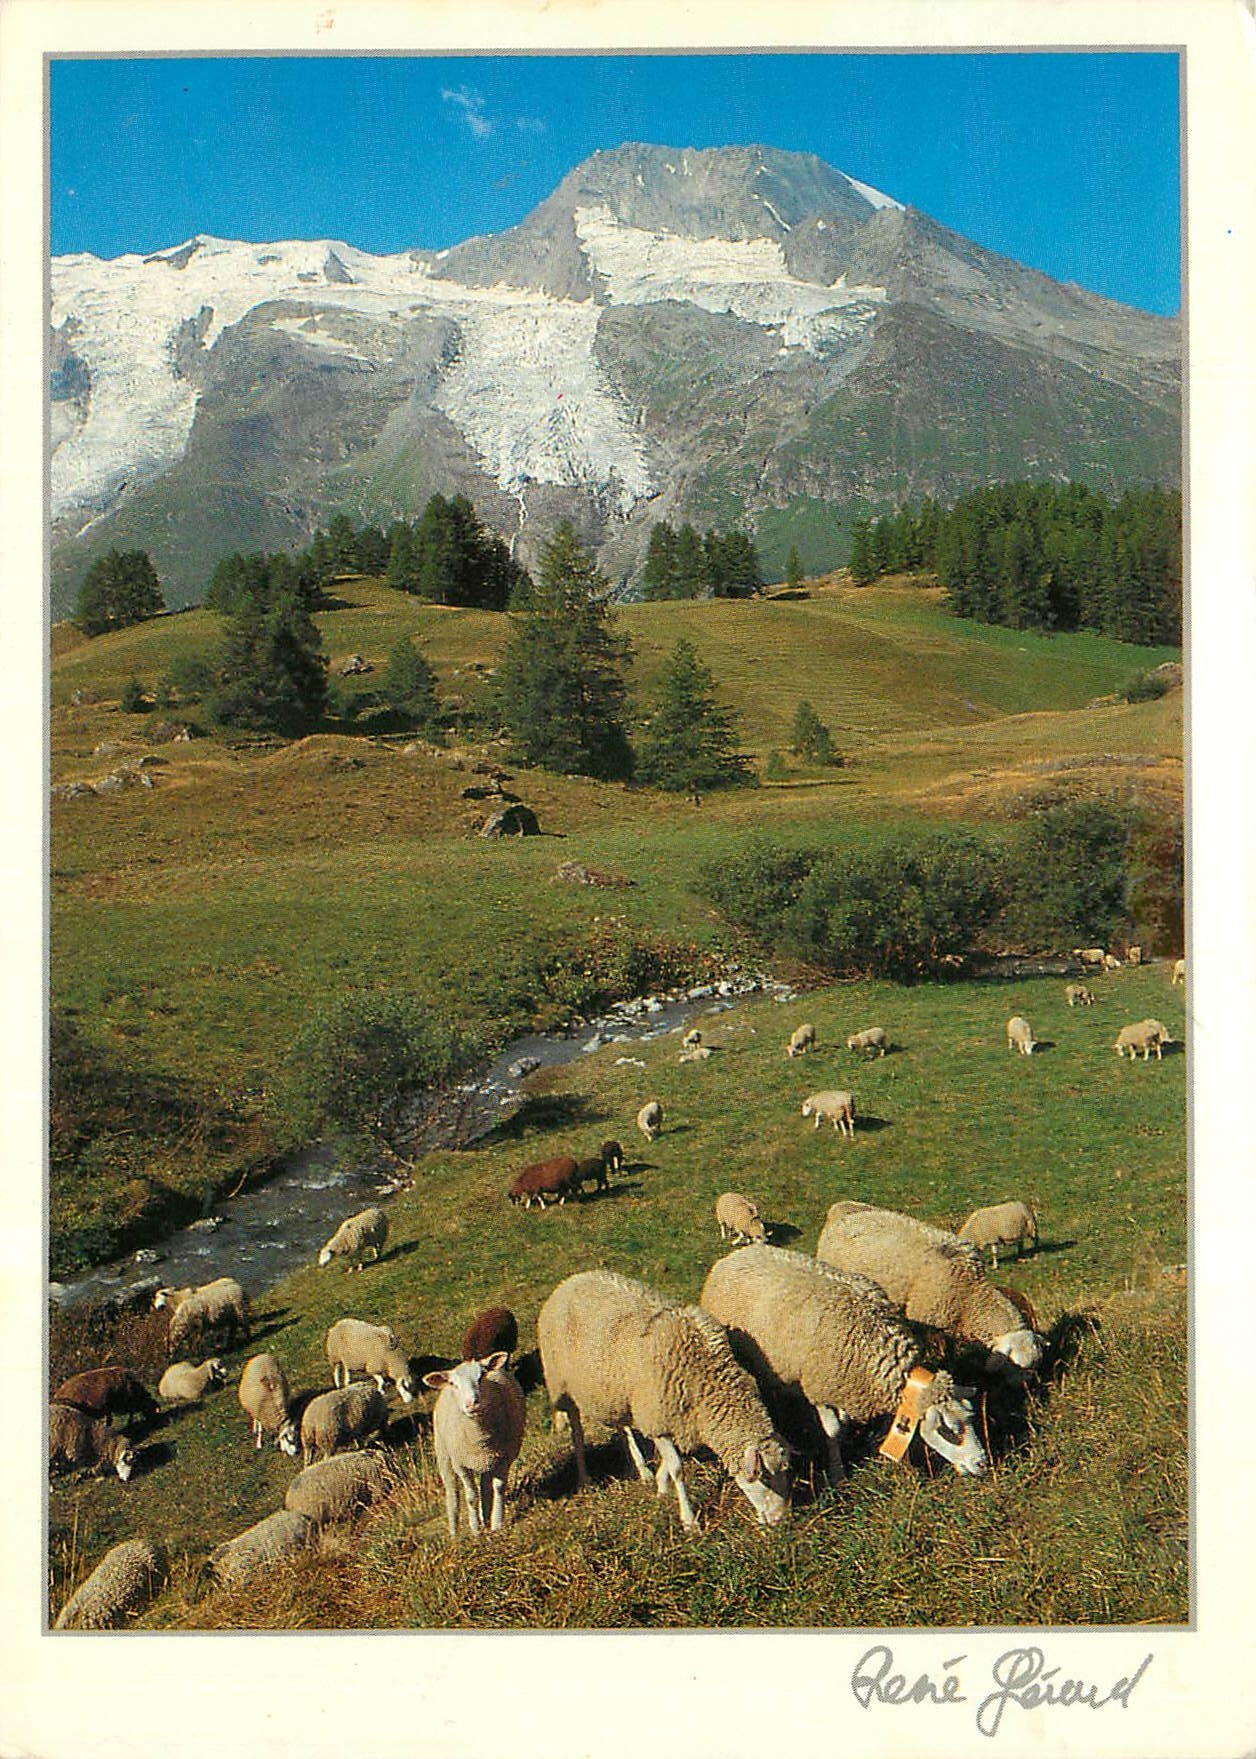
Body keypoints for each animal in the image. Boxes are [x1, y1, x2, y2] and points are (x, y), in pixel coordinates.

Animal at [422, 1353, 527, 1538]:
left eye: (481, 1376)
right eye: (454, 1384)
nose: (472, 1404)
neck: (480, 1436)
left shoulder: (505, 1457)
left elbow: (498, 1488)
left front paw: (497, 1524)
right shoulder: (461, 1464)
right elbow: (471, 1496)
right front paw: (475, 1529)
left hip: (488, 1459)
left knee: (485, 1486)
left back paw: (486, 1518)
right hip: (443, 1453)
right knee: (452, 1491)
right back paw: (454, 1533)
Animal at [538, 1268, 791, 1531]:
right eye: (764, 1477)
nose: (780, 1520)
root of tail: (570, 1281)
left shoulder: (670, 1415)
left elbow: (668, 1463)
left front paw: (660, 1485)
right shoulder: (656, 1417)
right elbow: (677, 1469)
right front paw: (689, 1521)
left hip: (615, 1391)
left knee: (622, 1427)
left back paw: (640, 1469)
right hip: (561, 1385)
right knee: (577, 1433)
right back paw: (584, 1478)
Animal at [701, 1247, 988, 1483]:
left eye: (971, 1417)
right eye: (949, 1429)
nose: (982, 1464)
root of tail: (734, 1256)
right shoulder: (819, 1389)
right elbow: (833, 1431)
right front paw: (837, 1473)